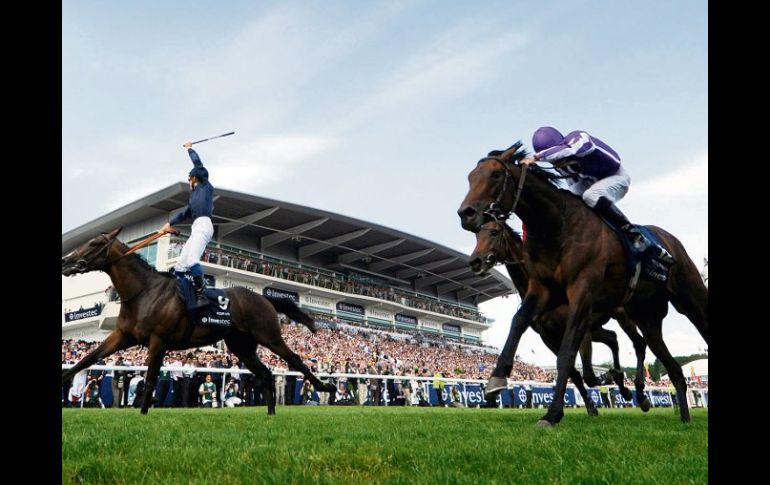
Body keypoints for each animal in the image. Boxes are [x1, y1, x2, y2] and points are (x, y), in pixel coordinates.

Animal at [60, 226, 336, 412]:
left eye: (94, 243)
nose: (66, 260)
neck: (144, 292)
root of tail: (263, 297)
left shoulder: (158, 341)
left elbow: (149, 381)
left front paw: (143, 415)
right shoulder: (122, 336)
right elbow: (87, 359)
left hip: (269, 336)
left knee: (295, 360)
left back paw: (325, 387)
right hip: (242, 347)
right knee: (267, 374)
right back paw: (270, 413)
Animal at [468, 217, 648, 410]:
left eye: (494, 233)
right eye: (476, 235)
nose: (475, 261)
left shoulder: (581, 327)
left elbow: (588, 375)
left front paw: (609, 378)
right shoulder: (548, 337)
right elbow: (576, 374)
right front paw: (592, 406)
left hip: (620, 316)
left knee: (637, 342)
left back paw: (636, 391)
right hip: (597, 329)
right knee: (612, 338)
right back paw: (623, 384)